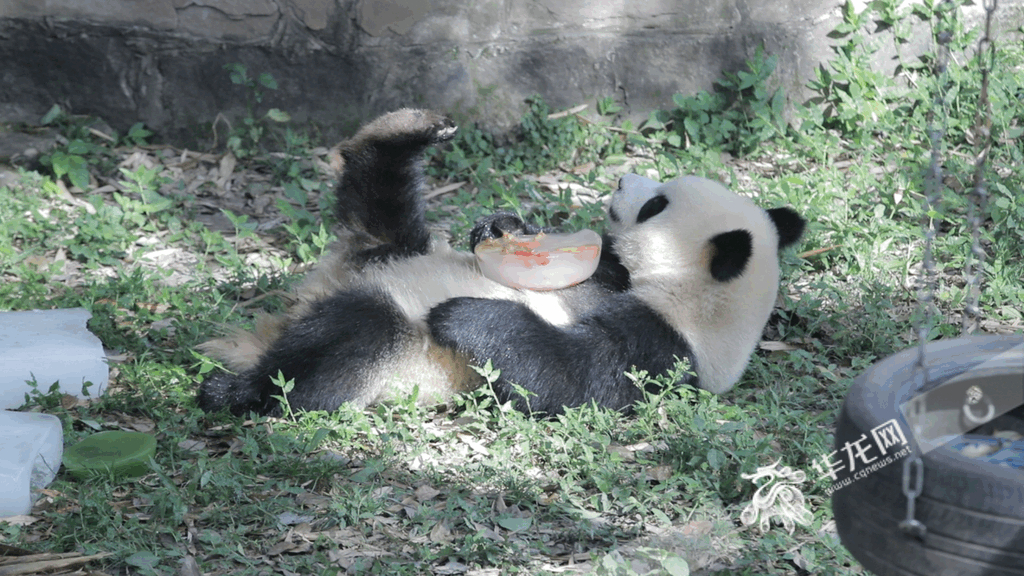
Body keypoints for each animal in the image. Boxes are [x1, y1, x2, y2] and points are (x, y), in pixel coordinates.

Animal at [197, 107, 806, 414]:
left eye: (656, 205)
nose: (622, 180)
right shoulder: (614, 273)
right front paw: (501, 228)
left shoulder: (663, 346)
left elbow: (566, 375)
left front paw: (462, 315)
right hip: (390, 249)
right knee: (379, 199)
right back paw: (410, 129)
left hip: (386, 344)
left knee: (351, 346)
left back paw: (237, 390)